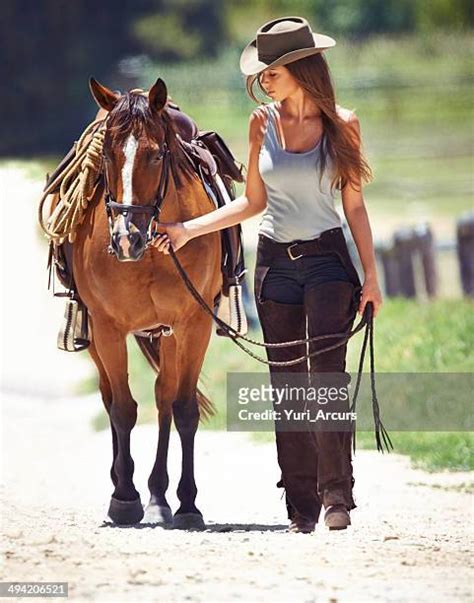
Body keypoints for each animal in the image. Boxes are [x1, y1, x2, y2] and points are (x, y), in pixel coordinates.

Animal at [71, 76, 222, 528]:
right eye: (107, 154)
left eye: (156, 155)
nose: (126, 239)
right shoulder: (107, 327)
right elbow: (122, 409)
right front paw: (124, 498)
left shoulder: (194, 325)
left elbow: (184, 408)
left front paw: (187, 503)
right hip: (98, 337)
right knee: (109, 397)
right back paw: (124, 483)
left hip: (169, 335)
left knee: (164, 397)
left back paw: (158, 495)